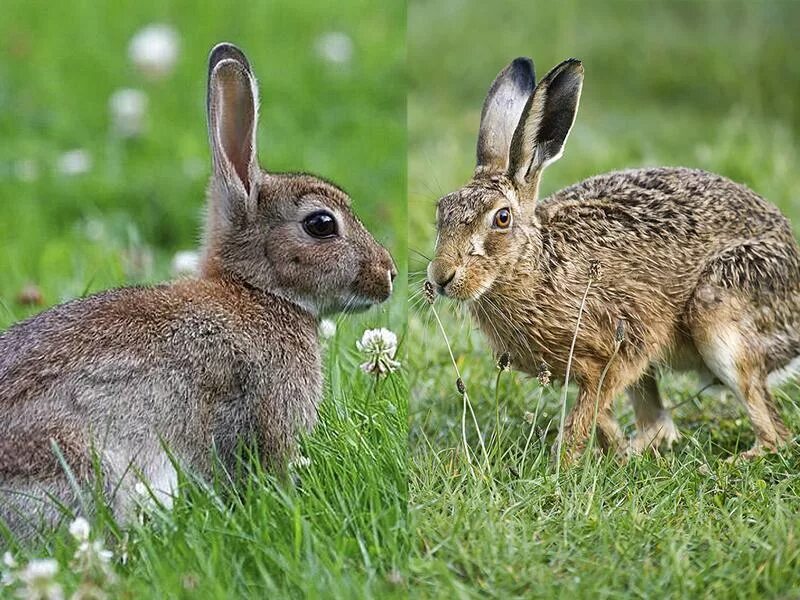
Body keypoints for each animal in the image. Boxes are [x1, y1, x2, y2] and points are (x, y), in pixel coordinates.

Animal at [428, 56, 800, 462]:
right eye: (441, 211)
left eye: (502, 218)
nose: (441, 277)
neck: (537, 265)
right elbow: (598, 412)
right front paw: (612, 452)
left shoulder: (624, 346)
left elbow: (584, 414)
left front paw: (564, 463)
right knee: (659, 423)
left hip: (721, 313)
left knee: (773, 431)